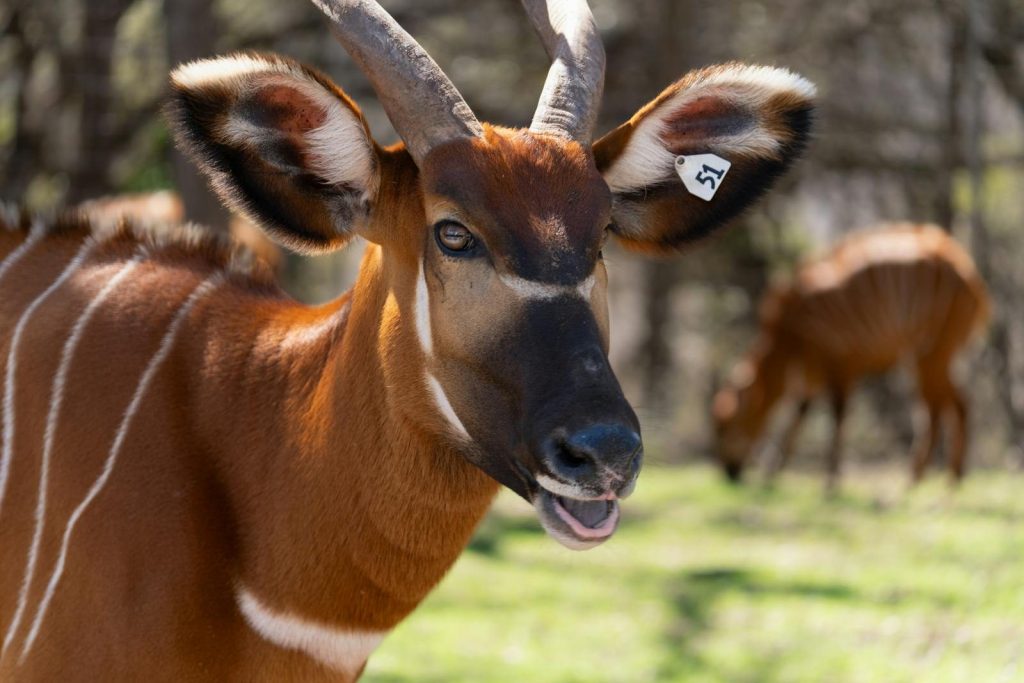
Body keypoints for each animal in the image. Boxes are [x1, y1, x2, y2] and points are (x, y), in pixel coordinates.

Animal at [712, 223, 990, 491]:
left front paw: (831, 481)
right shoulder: (815, 370)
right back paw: (951, 475)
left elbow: (837, 416)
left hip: (930, 353)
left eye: (727, 427)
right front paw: (772, 472)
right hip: (931, 357)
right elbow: (801, 411)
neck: (790, 330)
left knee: (938, 408)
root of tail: (970, 276)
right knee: (955, 403)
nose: (729, 473)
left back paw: (919, 478)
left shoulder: (841, 362)